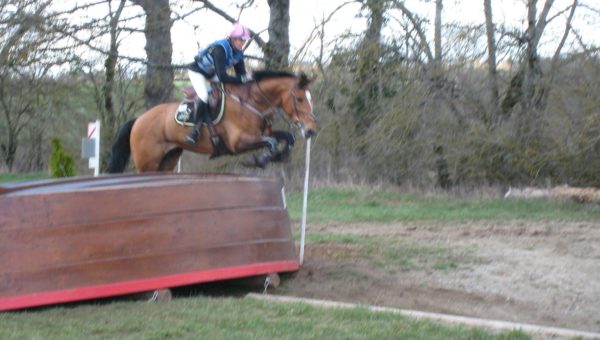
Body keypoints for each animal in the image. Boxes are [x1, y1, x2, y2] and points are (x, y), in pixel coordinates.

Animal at [108, 71, 316, 173]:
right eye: (299, 99)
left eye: (310, 98)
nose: (311, 130)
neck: (251, 103)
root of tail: (139, 119)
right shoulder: (238, 143)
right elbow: (271, 142)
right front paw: (261, 160)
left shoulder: (260, 134)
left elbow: (286, 137)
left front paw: (280, 156)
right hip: (147, 162)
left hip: (168, 159)